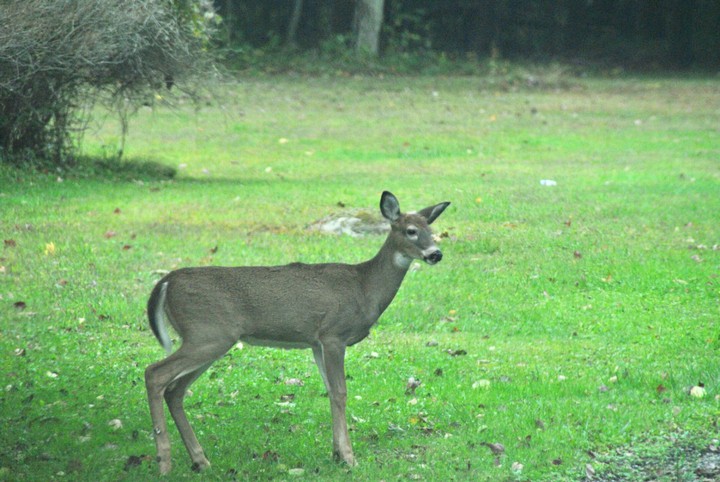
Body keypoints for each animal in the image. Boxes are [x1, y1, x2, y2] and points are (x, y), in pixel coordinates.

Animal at [144, 191, 450, 474]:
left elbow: (330, 391)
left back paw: (200, 460)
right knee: (154, 373)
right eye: (410, 231)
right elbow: (341, 392)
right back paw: (164, 463)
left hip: (209, 338)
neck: (365, 288)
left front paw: (336, 453)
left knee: (175, 390)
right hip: (207, 333)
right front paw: (349, 458)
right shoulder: (334, 334)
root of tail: (165, 282)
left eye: (431, 229)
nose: (436, 254)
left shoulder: (316, 342)